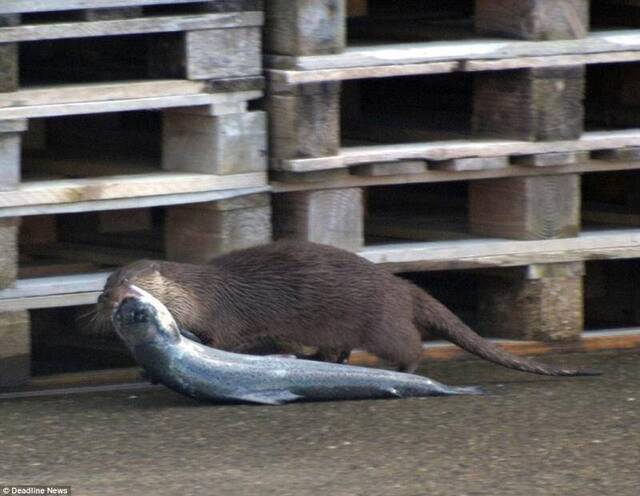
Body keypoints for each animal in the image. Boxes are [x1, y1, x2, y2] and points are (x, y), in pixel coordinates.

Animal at [97, 241, 596, 376]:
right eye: (103, 288)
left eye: (125, 283)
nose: (107, 301)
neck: (203, 295)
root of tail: (401, 285)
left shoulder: (228, 320)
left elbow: (228, 343)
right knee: (341, 350)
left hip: (379, 321)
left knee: (410, 344)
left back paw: (405, 370)